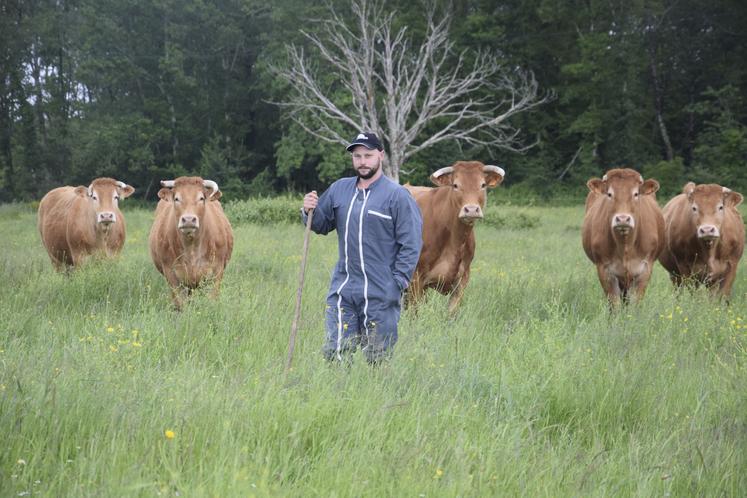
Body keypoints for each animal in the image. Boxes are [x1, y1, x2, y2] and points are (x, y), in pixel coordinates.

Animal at [149, 175, 234, 308]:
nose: (188, 219)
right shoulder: (170, 273)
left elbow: (212, 299)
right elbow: (179, 303)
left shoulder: (217, 271)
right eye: (177, 198)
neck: (192, 248)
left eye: (201, 198)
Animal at [580, 169, 664, 306]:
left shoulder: (645, 269)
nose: (623, 218)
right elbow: (614, 303)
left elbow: (635, 303)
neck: (625, 245)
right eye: (609, 194)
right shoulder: (604, 270)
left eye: (636, 194)